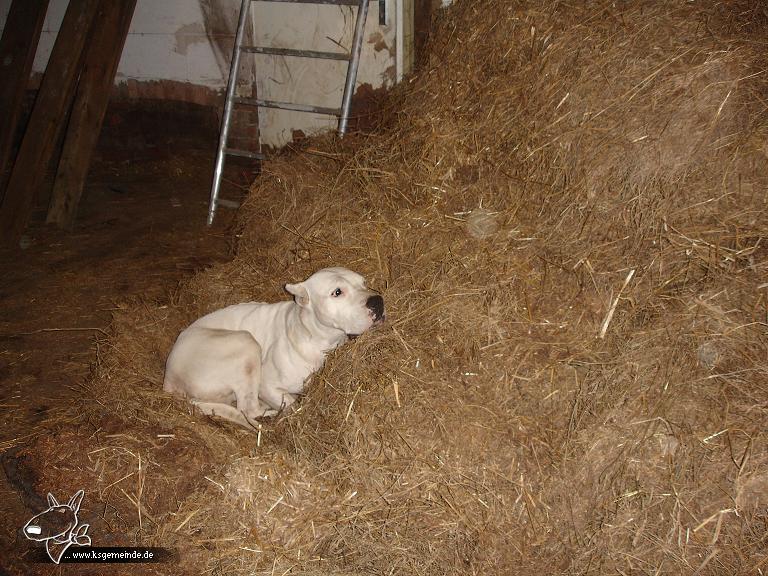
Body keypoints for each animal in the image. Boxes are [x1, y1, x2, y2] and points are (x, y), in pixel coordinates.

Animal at [166, 266, 388, 428]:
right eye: (337, 292)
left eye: (364, 282)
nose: (377, 301)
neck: (313, 334)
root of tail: (169, 378)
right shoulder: (267, 385)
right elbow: (293, 405)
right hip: (245, 342)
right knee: (248, 408)